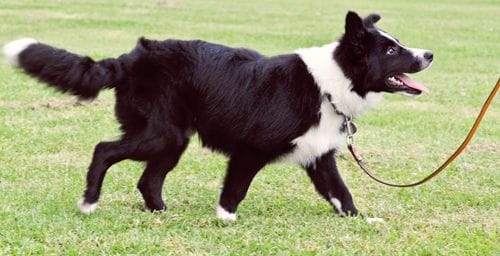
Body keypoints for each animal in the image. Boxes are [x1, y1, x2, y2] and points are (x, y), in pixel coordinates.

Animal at [3, 11, 432, 221]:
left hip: (173, 139)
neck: (329, 82)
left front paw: (360, 220)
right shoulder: (249, 150)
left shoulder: (319, 158)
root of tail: (131, 57)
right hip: (158, 134)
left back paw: (161, 213)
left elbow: (342, 194)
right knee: (103, 150)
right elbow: (235, 190)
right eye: (391, 51)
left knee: (147, 179)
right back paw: (89, 202)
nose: (429, 54)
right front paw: (225, 220)